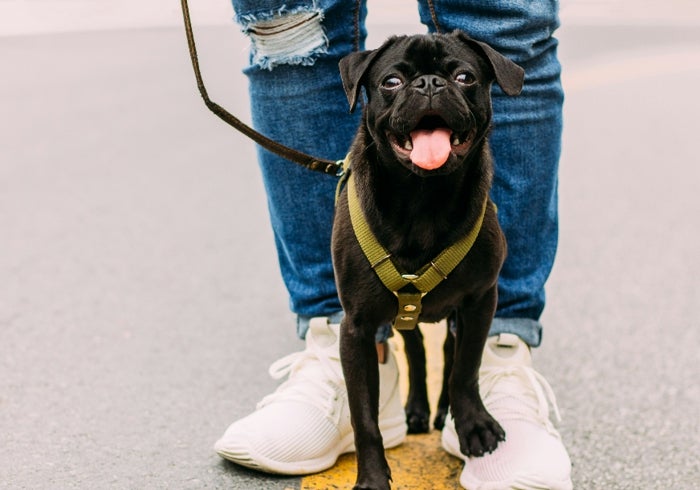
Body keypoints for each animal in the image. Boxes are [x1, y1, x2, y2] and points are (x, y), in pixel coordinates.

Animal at [334, 31, 524, 490]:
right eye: (391, 82)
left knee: (449, 351)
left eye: (464, 77)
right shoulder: (356, 329)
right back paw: (418, 410)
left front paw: (472, 425)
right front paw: (371, 478)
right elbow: (364, 416)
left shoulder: (480, 301)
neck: (423, 199)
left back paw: (441, 412)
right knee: (417, 348)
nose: (429, 84)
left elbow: (466, 368)